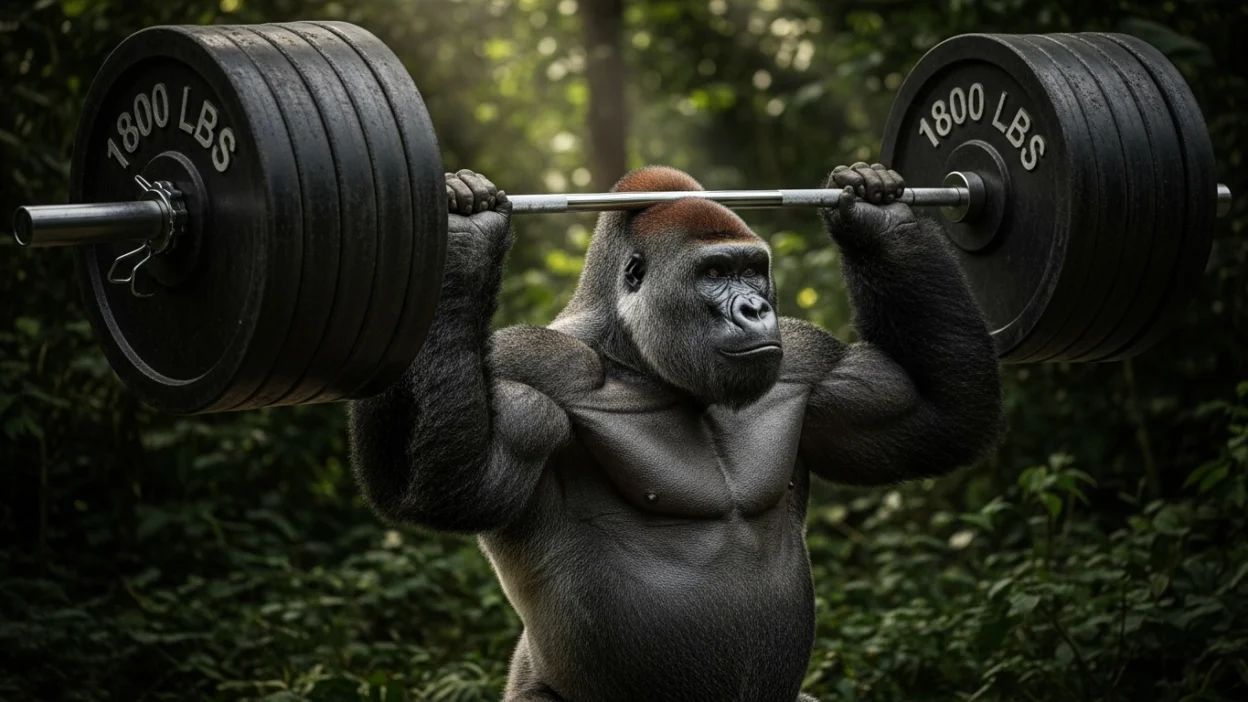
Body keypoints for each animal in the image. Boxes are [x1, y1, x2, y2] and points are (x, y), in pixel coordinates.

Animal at [347, 162, 1004, 702]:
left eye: (752, 271)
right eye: (714, 273)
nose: (754, 310)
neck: (631, 353)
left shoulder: (809, 359)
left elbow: (934, 417)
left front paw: (875, 210)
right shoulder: (535, 364)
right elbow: (450, 484)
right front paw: (464, 234)